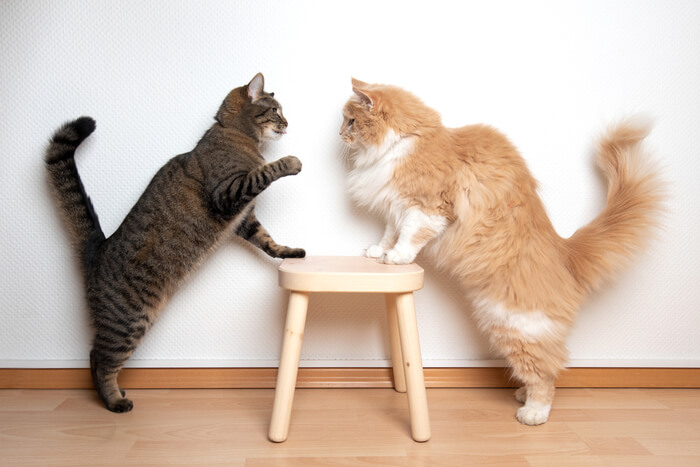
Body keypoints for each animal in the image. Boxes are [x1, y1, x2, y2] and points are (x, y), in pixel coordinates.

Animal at [45, 73, 304, 414]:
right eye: (275, 110)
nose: (287, 122)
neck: (235, 134)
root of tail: (98, 247)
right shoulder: (229, 193)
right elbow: (266, 171)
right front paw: (291, 162)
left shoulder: (244, 220)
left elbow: (266, 240)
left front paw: (288, 252)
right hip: (128, 321)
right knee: (100, 360)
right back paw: (114, 401)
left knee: (94, 358)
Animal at [342, 78, 664, 426]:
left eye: (351, 121)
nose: (339, 134)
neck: (407, 141)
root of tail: (565, 253)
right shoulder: (395, 207)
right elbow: (389, 233)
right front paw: (377, 252)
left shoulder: (426, 208)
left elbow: (408, 238)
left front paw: (397, 258)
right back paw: (522, 394)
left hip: (515, 325)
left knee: (546, 373)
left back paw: (533, 411)